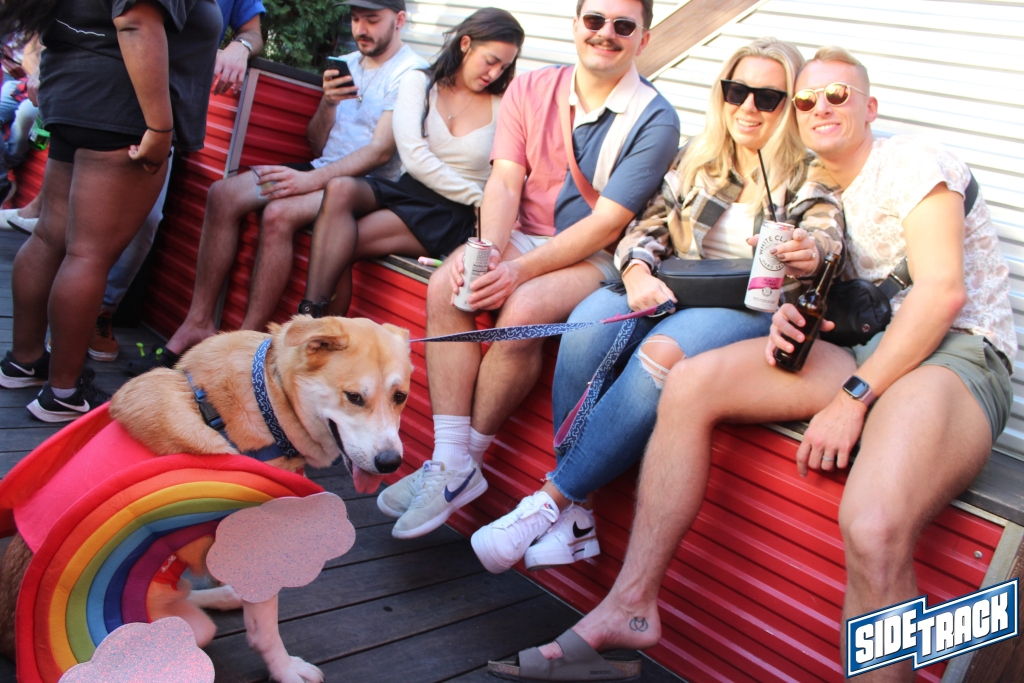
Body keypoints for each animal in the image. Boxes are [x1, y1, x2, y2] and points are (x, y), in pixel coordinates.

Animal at [0, 315, 412, 683]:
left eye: (401, 397)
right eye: (354, 397)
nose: (390, 463)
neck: (268, 397)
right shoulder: (255, 544)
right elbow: (265, 629)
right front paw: (285, 670)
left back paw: (224, 595)